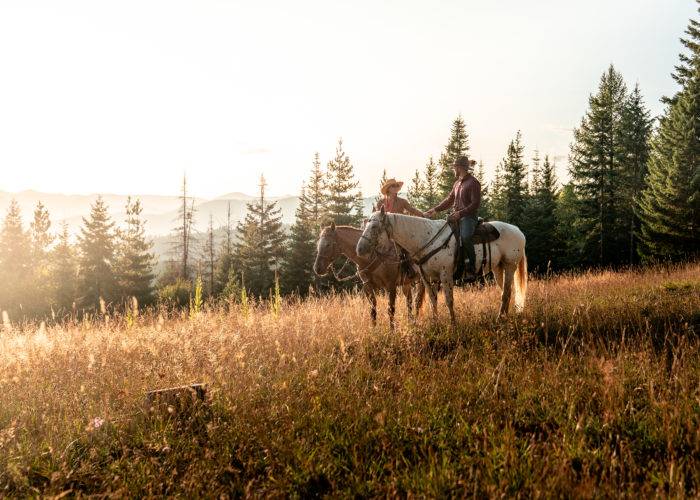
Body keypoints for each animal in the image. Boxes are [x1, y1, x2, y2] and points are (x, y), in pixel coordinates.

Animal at [356, 209, 524, 326]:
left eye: (374, 226)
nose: (359, 249)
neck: (427, 239)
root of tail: (518, 230)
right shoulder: (427, 277)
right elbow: (432, 301)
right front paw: (435, 324)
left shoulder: (445, 275)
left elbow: (449, 300)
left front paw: (453, 325)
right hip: (498, 268)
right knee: (506, 292)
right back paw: (504, 317)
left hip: (510, 266)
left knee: (506, 293)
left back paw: (499, 319)